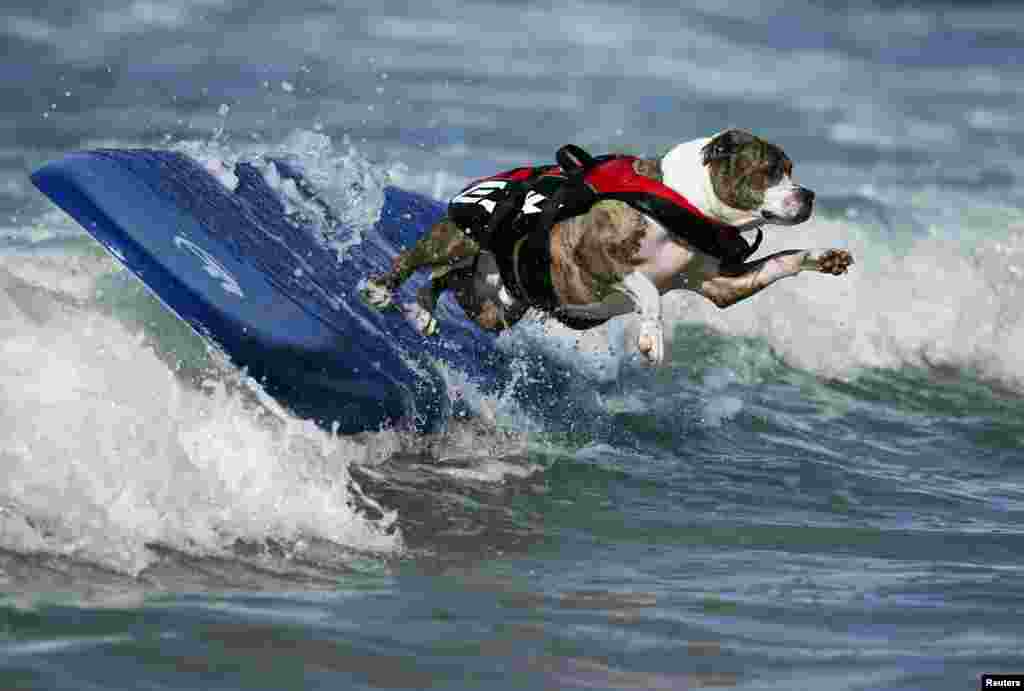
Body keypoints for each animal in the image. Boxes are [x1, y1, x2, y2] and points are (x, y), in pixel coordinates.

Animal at [364, 131, 851, 368]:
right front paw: (652, 338)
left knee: (449, 278)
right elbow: (650, 291)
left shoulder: (723, 284)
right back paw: (382, 290)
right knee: (417, 259)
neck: (686, 201)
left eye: (792, 171)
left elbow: (781, 262)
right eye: (770, 171)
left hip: (498, 301)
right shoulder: (595, 256)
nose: (808, 195)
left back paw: (422, 310)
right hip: (461, 235)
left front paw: (822, 257)